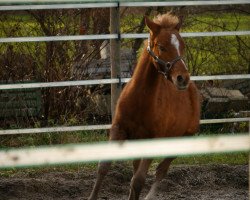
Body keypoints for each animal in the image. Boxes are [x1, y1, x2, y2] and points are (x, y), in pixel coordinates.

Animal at [89, 13, 200, 199]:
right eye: (161, 46)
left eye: (182, 46)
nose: (182, 78)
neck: (140, 100)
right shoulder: (118, 129)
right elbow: (103, 167)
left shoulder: (153, 139)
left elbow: (139, 180)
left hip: (182, 138)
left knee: (161, 171)